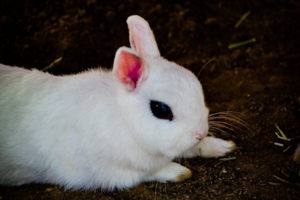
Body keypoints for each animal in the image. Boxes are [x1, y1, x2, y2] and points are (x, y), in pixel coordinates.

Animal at [0, 14, 234, 190]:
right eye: (160, 109)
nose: (200, 132)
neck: (126, 123)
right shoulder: (103, 173)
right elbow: (146, 173)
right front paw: (178, 172)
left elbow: (193, 148)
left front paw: (221, 146)